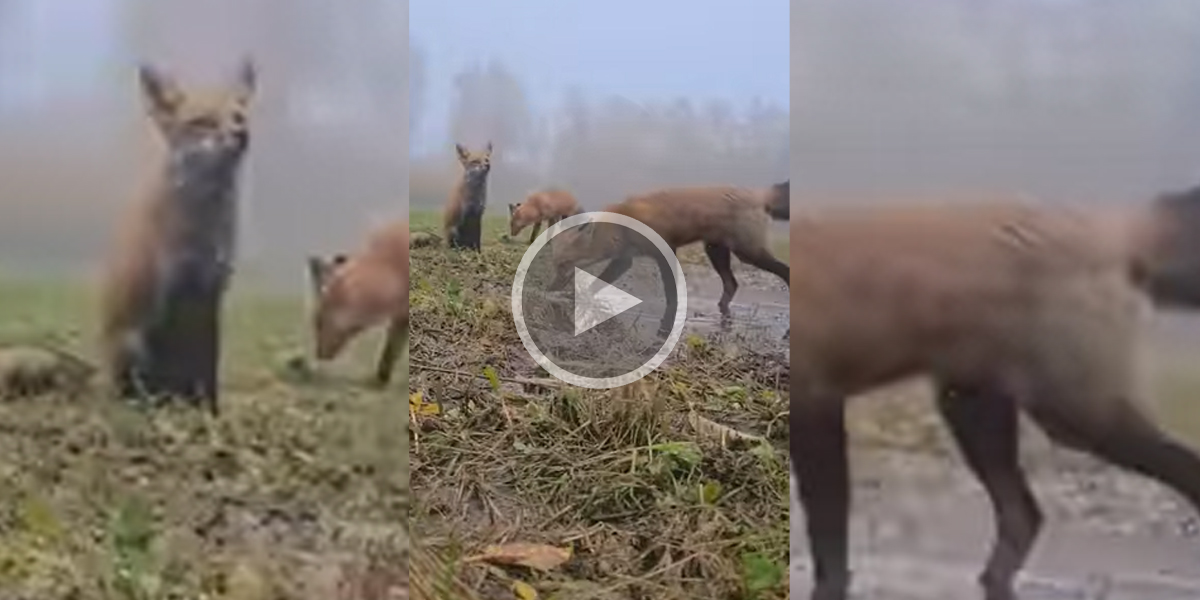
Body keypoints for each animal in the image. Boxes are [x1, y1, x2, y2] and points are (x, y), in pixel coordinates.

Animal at [99, 58, 258, 415]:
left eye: (239, 116)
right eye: (202, 123)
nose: (242, 135)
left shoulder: (211, 291)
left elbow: (208, 368)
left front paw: (211, 414)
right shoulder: (170, 295)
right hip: (130, 344)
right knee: (132, 387)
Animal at [307, 218, 410, 386]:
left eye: (319, 321)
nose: (319, 354)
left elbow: (393, 348)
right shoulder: (401, 314)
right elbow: (391, 349)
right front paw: (380, 379)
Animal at [549, 180, 792, 333]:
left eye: (564, 264)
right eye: (556, 265)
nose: (550, 289)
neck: (615, 228)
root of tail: (758, 193)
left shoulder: (663, 251)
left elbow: (670, 290)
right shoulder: (626, 258)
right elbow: (600, 283)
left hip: (748, 253)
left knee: (785, 272)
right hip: (716, 251)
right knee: (732, 284)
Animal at [792, 189, 1200, 600]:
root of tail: (1102, 230)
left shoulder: (816, 402)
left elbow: (828, 530)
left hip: (1074, 410)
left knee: (1185, 468)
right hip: (975, 411)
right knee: (1025, 514)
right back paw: (995, 581)